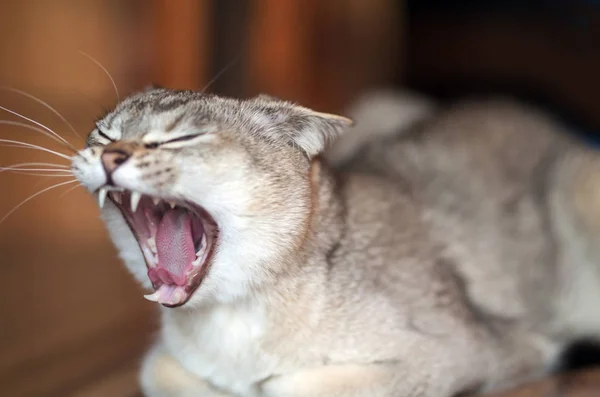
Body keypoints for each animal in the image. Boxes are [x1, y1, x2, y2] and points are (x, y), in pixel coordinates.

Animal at [70, 87, 600, 396]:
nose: (110, 156)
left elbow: (294, 387)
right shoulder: (162, 359)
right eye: (103, 134)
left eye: (182, 138)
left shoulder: (477, 350)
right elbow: (162, 374)